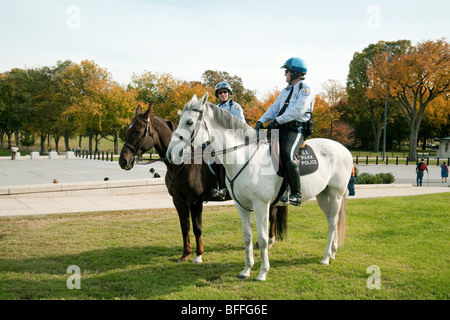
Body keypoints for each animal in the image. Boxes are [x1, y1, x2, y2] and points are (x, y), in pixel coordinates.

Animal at [119, 105, 286, 262]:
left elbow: (197, 228)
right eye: (127, 129)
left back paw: (268, 241)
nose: (123, 161)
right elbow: (185, 227)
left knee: (272, 215)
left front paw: (198, 255)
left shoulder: (195, 201)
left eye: (138, 131)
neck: (183, 163)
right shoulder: (178, 201)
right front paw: (185, 254)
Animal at [167, 94, 354, 282]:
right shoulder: (241, 206)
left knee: (333, 223)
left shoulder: (261, 205)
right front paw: (246, 270)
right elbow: (247, 237)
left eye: (189, 122)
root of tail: (344, 149)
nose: (170, 154)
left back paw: (325, 257)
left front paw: (263, 272)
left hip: (336, 195)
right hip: (323, 195)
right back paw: (332, 253)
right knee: (331, 220)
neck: (244, 157)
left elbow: (263, 239)